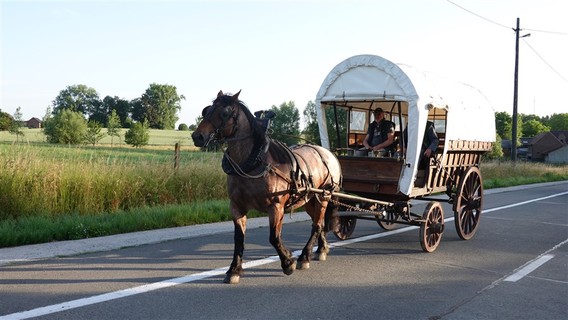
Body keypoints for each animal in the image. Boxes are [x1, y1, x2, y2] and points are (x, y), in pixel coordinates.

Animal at [191, 90, 342, 284]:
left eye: (225, 112)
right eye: (207, 110)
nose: (198, 136)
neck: (254, 162)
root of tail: (327, 153)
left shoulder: (276, 206)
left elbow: (274, 237)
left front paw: (288, 262)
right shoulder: (236, 206)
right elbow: (239, 239)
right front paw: (234, 270)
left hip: (323, 196)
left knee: (316, 225)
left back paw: (304, 257)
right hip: (309, 200)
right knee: (319, 223)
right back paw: (321, 249)